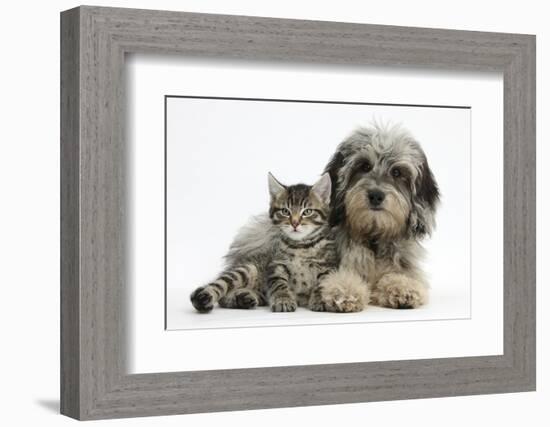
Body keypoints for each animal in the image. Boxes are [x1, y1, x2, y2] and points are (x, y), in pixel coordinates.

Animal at [320, 122, 440, 312]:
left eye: (397, 172)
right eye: (364, 166)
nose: (376, 195)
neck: (374, 237)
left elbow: (401, 277)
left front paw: (403, 287)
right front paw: (344, 290)